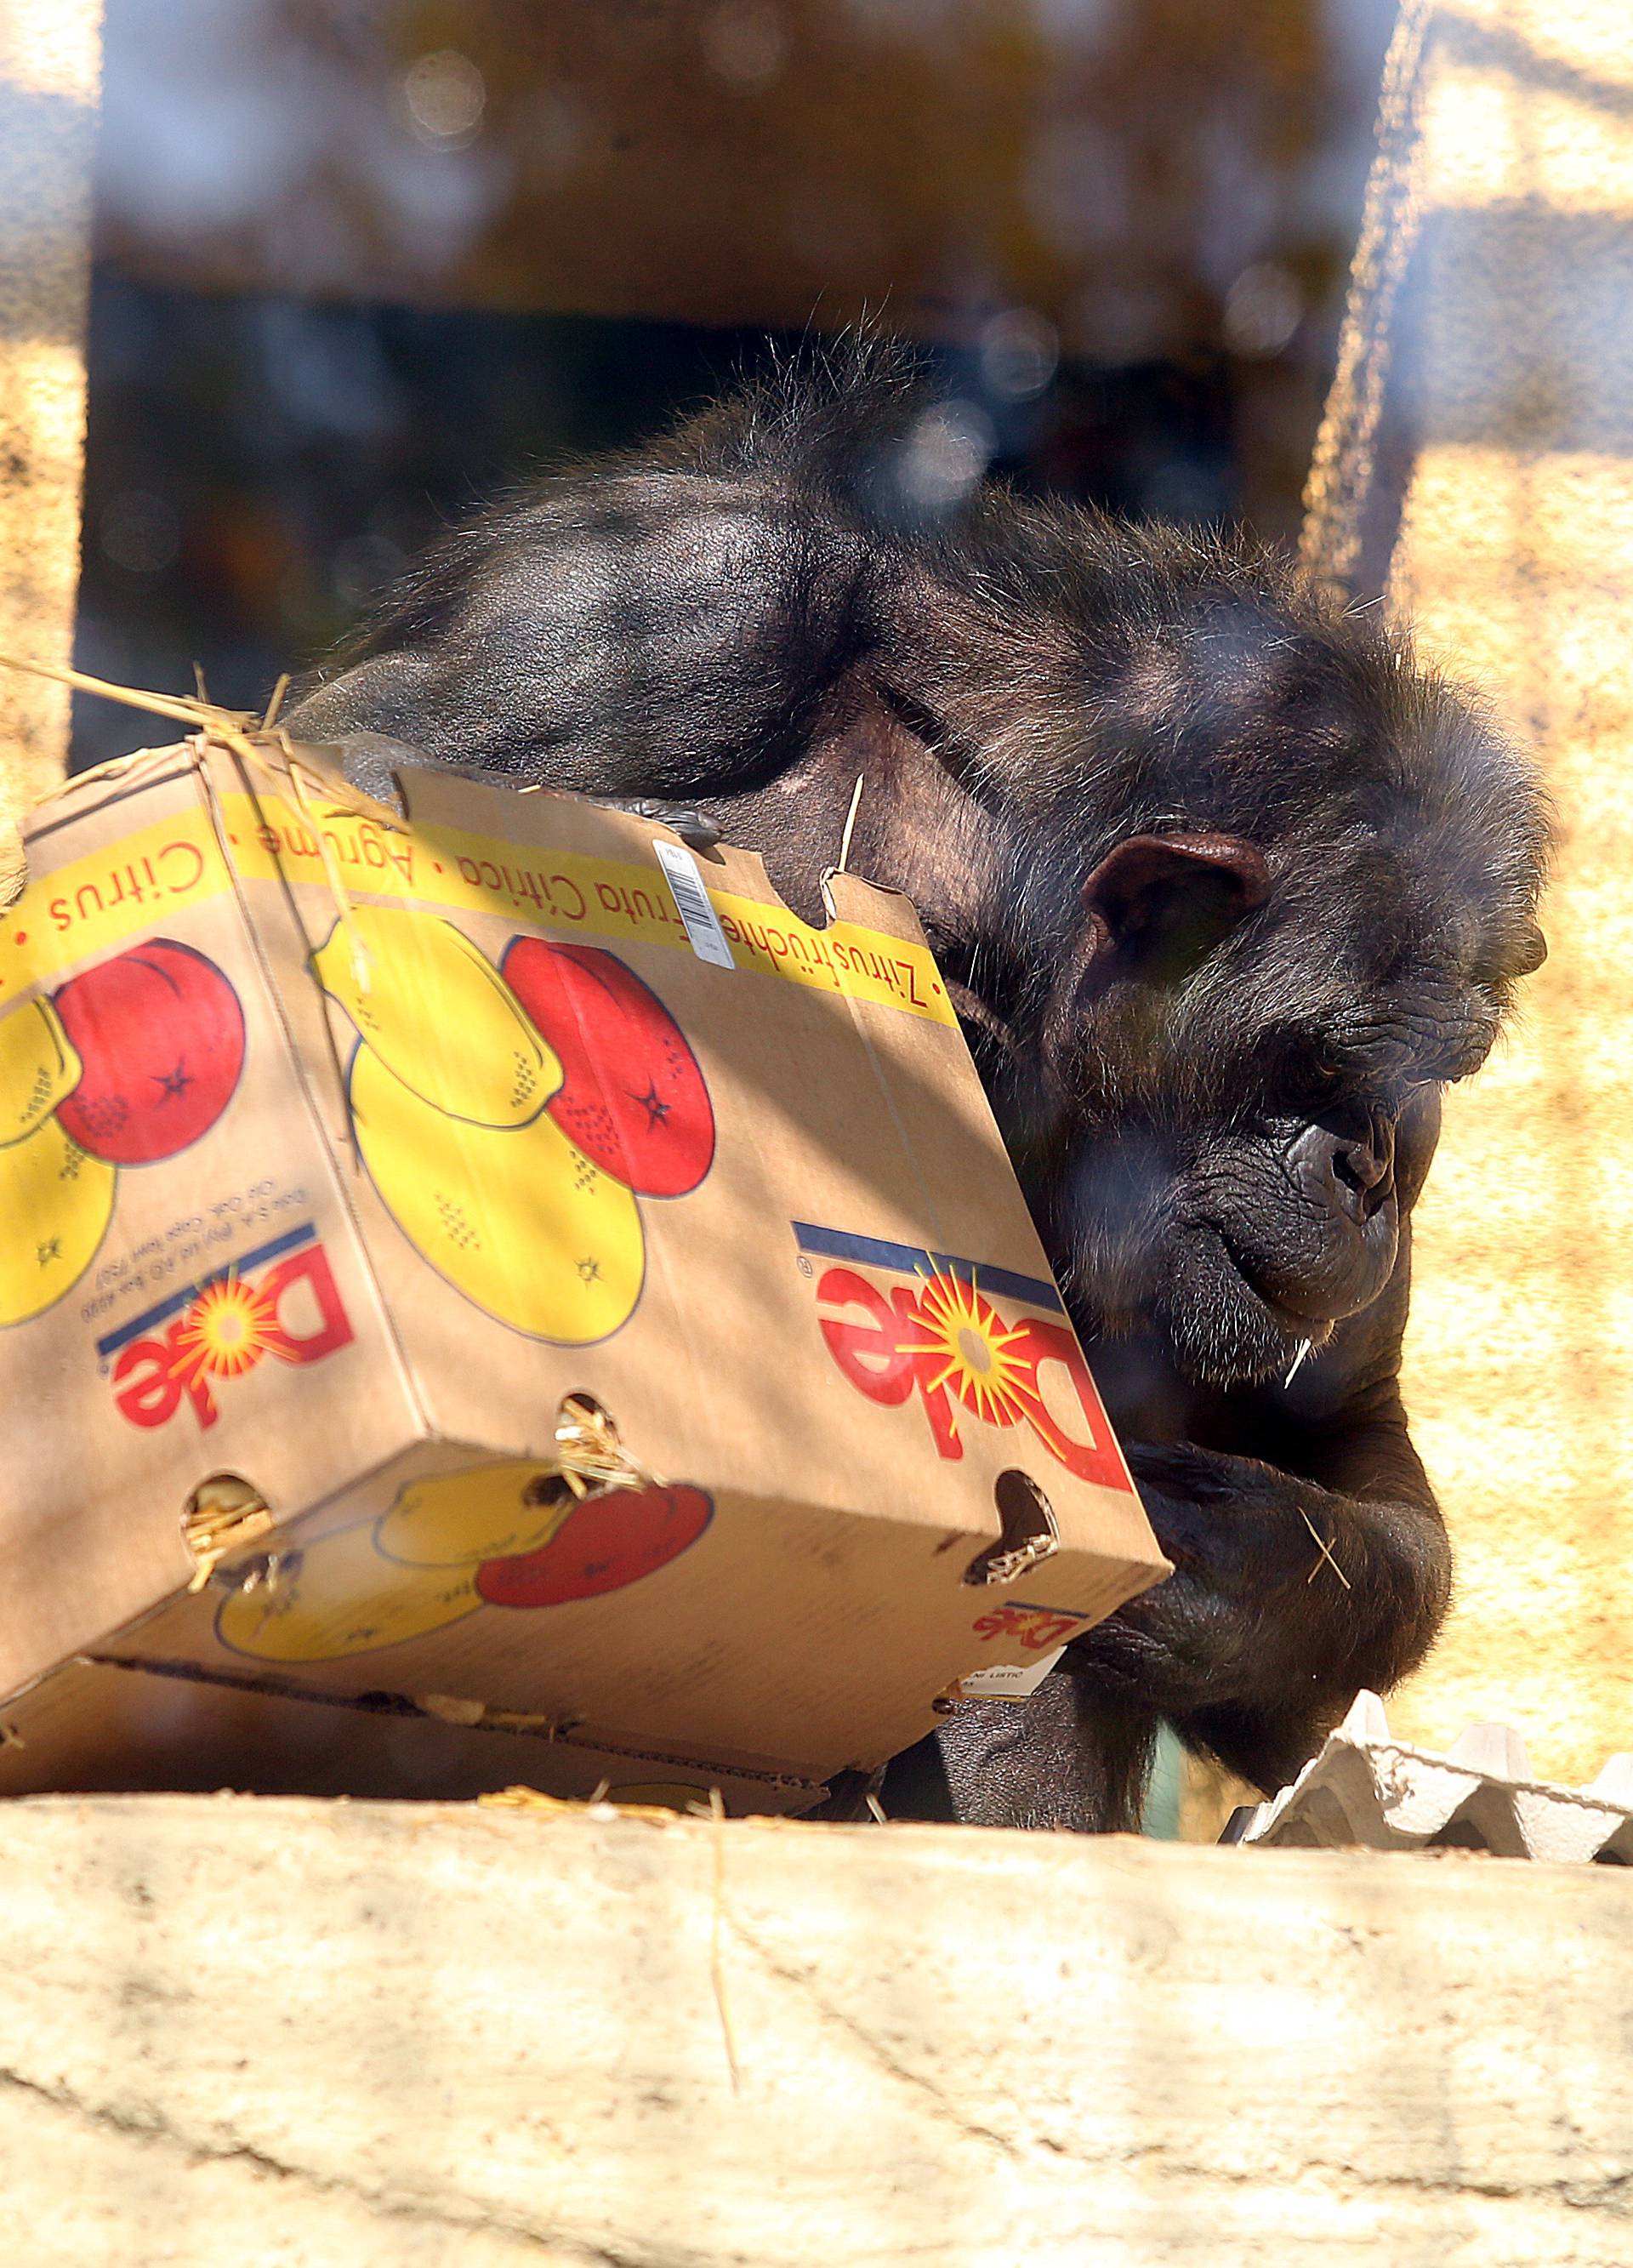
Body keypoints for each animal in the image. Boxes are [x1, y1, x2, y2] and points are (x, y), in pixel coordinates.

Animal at [287, 339, 1551, 1823]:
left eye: (1420, 1078)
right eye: (1323, 1054)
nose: (1365, 1166)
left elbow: (1361, 1467)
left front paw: (1224, 1559)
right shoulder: (668, 599)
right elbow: (334, 787)